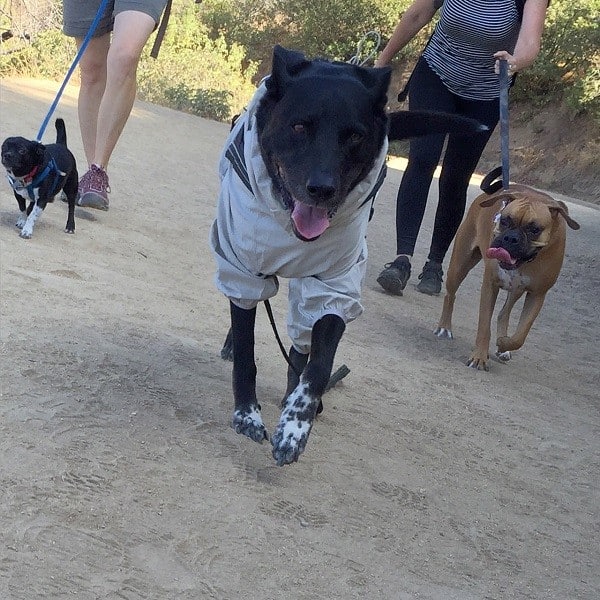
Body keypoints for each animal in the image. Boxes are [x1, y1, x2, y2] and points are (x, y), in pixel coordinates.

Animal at [211, 47, 488, 466]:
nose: (322, 188)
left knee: (300, 342)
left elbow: (319, 363)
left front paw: (296, 424)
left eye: (355, 135)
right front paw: (247, 413)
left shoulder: (335, 284)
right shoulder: (242, 265)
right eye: (299, 127)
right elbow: (246, 348)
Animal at [434, 183, 580, 370]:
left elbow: (521, 335)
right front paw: (479, 357)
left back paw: (503, 346)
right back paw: (445, 328)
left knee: (504, 313)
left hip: (516, 290)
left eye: (534, 229)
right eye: (504, 221)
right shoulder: (490, 285)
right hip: (459, 266)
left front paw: (503, 343)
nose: (511, 238)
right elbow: (484, 326)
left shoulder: (537, 295)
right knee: (450, 296)